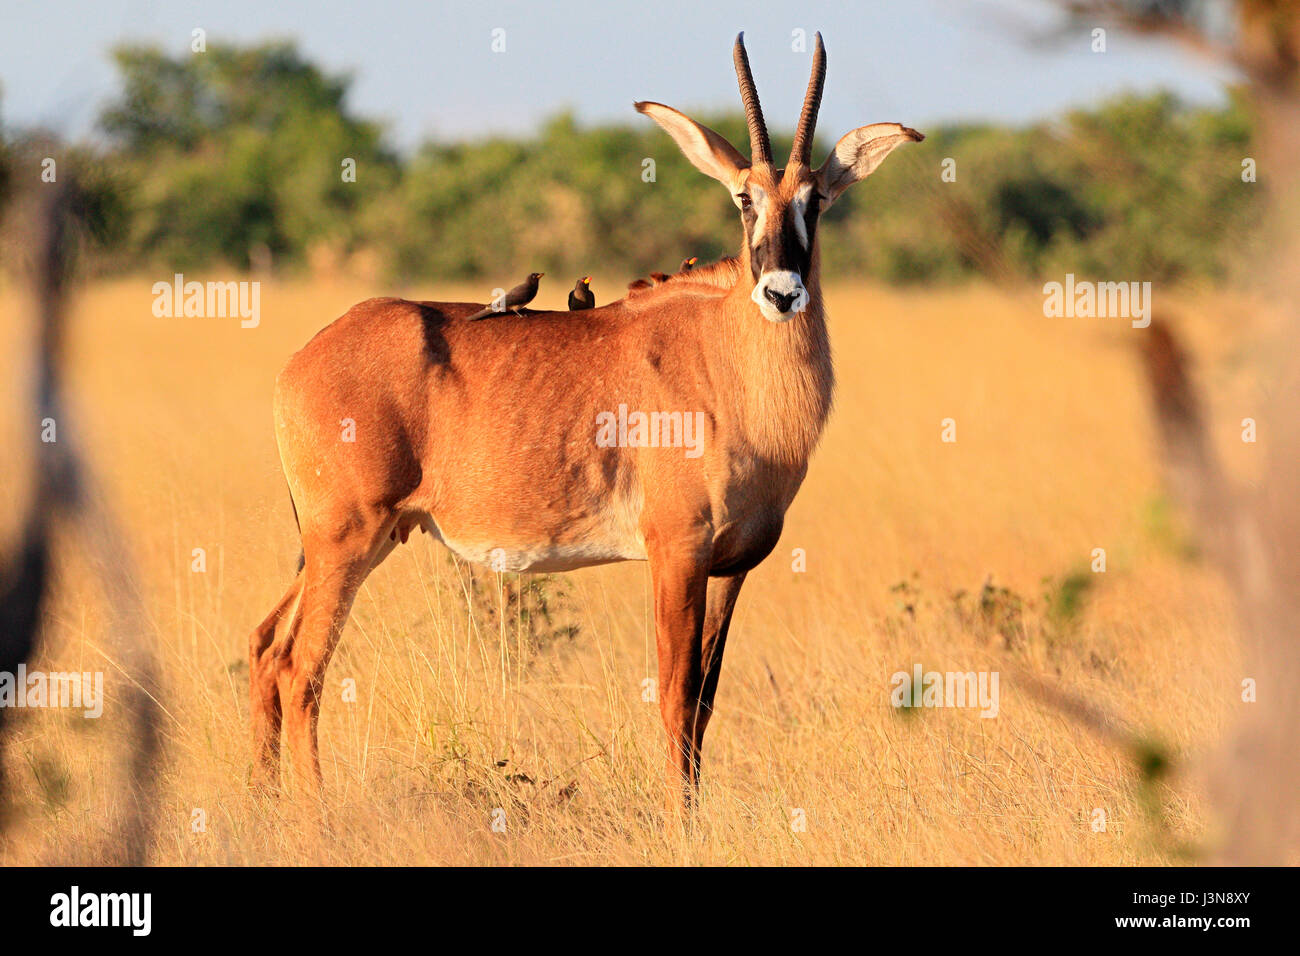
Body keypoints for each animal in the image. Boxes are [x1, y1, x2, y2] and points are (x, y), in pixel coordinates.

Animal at [250, 31, 925, 806]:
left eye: (816, 201)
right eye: (743, 197)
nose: (781, 292)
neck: (726, 361)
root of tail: (297, 364)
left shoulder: (733, 568)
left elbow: (705, 701)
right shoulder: (676, 551)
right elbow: (675, 695)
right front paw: (680, 820)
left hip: (348, 543)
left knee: (266, 647)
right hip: (346, 539)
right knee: (300, 667)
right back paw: (315, 817)